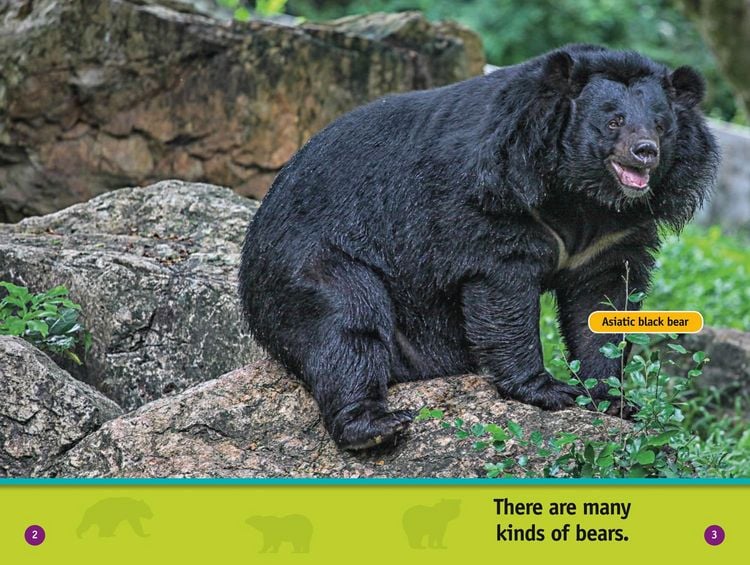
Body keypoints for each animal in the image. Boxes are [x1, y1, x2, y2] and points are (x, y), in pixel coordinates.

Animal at [238, 44, 719, 450]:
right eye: (614, 120)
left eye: (661, 125)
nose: (646, 152)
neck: (581, 194)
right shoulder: (495, 197)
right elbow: (503, 291)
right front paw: (550, 390)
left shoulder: (617, 233)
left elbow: (602, 305)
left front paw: (615, 400)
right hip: (313, 260)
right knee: (346, 322)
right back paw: (376, 427)